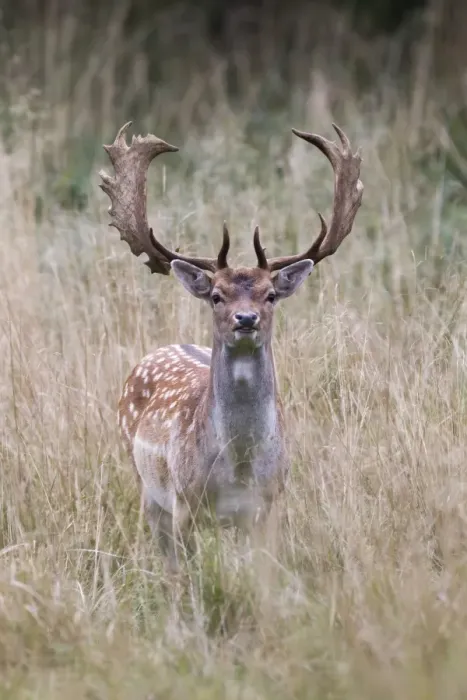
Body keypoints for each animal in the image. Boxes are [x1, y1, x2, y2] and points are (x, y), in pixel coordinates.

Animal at [99, 121, 363, 570]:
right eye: (216, 296)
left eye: (270, 295)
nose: (245, 319)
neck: (238, 467)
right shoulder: (184, 503)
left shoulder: (269, 505)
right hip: (144, 482)